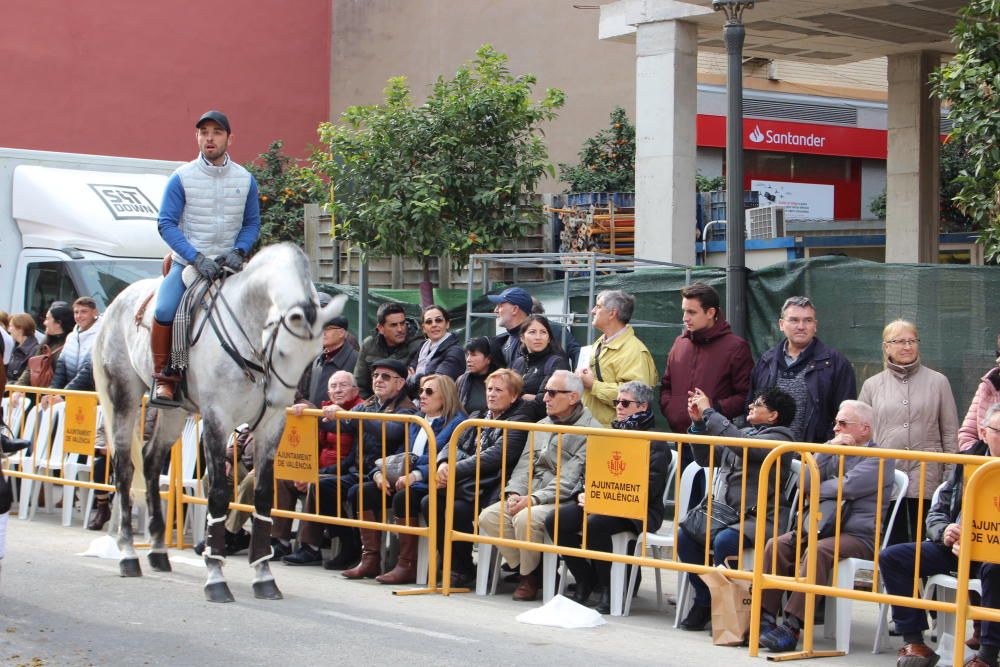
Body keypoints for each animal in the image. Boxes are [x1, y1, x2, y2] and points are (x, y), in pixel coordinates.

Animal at [92, 243, 348, 604]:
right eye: (284, 351)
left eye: (313, 355)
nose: (279, 399)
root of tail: (116, 303)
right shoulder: (217, 420)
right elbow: (217, 496)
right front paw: (215, 576)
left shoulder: (270, 427)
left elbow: (264, 497)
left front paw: (264, 576)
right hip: (123, 397)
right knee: (125, 469)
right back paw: (129, 554)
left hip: (175, 411)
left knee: (152, 460)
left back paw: (158, 551)